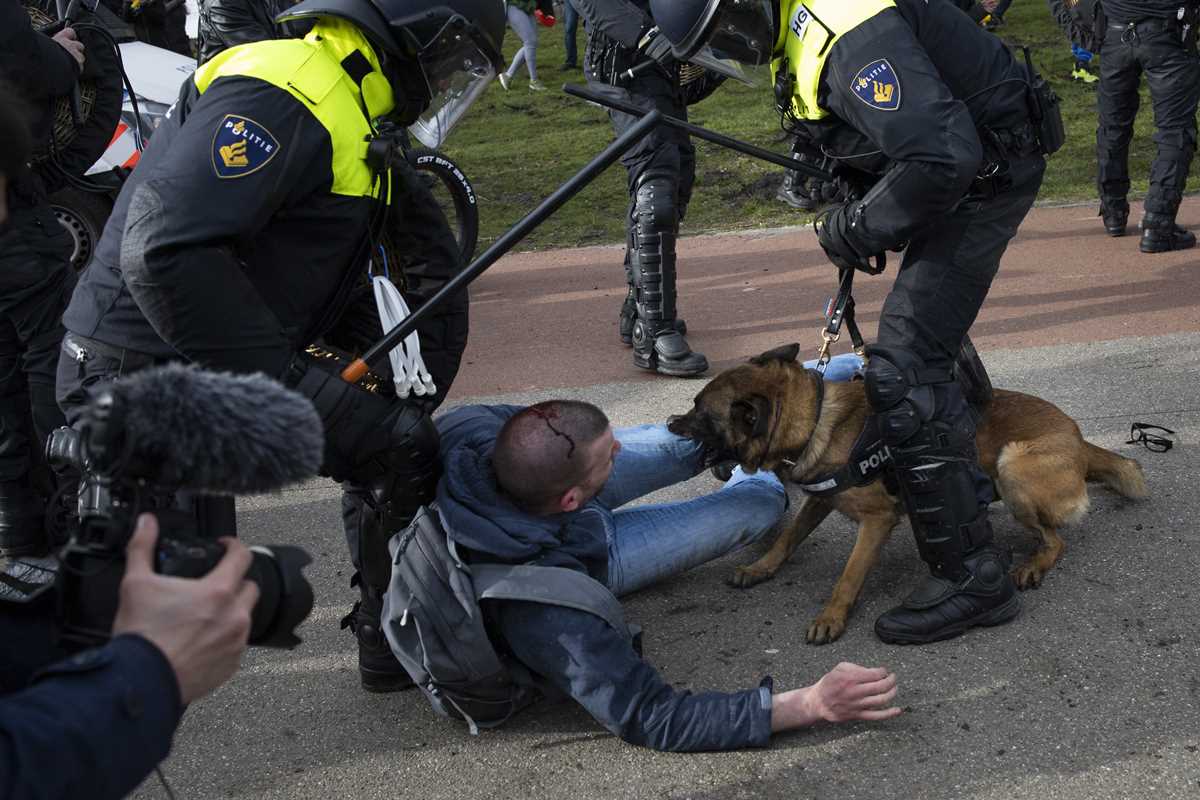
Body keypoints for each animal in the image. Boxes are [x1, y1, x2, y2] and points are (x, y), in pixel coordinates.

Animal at [672, 345, 1147, 642]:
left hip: (1012, 467)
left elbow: (848, 577)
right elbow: (788, 539)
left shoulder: (877, 520)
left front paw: (831, 617)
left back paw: (1033, 563)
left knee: (1056, 540)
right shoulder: (821, 498)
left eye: (699, 410)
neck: (812, 420)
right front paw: (760, 568)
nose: (671, 423)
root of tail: (1079, 437)